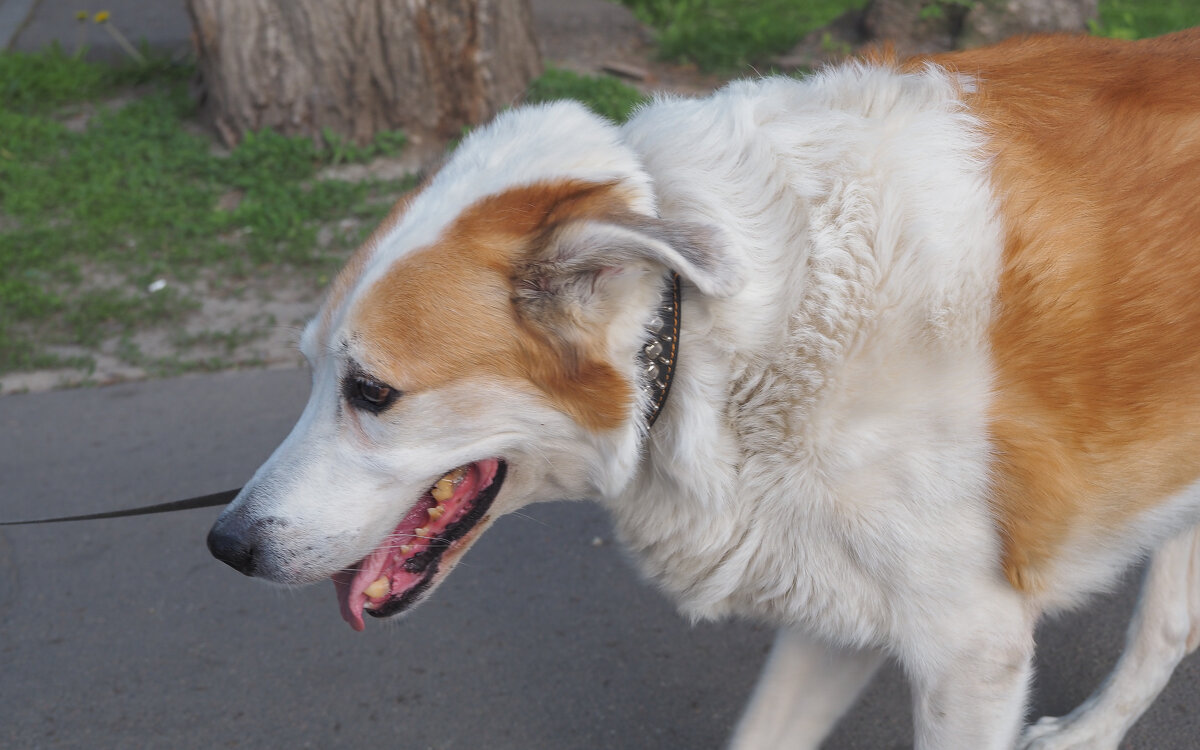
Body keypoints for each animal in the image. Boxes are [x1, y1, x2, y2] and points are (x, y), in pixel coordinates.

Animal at [206, 29, 1200, 748]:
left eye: (371, 393)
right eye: (311, 372)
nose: (226, 545)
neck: (716, 343)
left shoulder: (970, 650)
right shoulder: (844, 609)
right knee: (1169, 629)